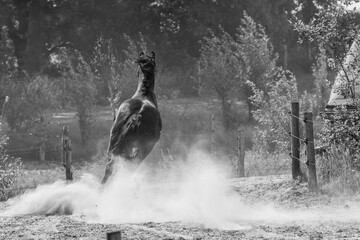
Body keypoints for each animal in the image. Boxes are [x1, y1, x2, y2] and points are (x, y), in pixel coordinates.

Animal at [100, 51, 161, 184]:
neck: (144, 94)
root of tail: (137, 115)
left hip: (114, 143)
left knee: (110, 166)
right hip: (143, 149)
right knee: (130, 165)